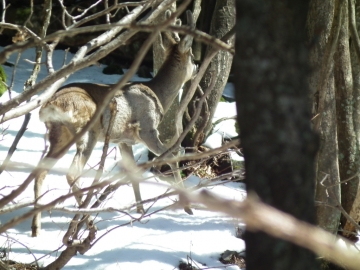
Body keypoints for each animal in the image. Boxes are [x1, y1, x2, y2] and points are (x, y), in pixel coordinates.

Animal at [31, 10, 197, 236]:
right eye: (192, 56)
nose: (196, 67)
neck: (158, 95)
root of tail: (51, 105)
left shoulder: (123, 141)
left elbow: (133, 171)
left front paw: (140, 210)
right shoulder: (147, 129)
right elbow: (171, 156)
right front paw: (187, 207)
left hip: (58, 135)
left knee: (40, 171)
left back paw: (36, 227)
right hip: (87, 131)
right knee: (72, 174)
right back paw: (86, 222)